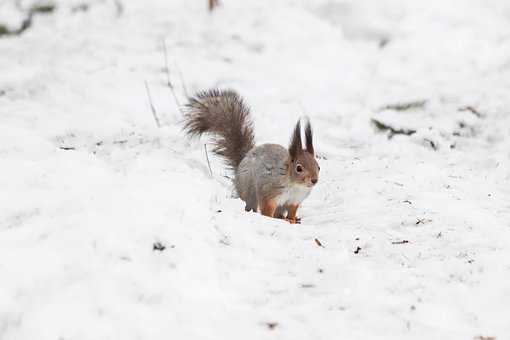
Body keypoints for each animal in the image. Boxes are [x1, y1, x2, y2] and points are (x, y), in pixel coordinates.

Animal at [183, 89, 318, 224]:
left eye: (318, 167)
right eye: (299, 168)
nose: (314, 180)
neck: (295, 185)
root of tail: (241, 163)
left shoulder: (294, 201)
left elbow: (292, 212)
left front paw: (292, 220)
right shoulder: (269, 192)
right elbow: (267, 209)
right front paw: (269, 219)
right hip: (250, 191)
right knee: (251, 204)